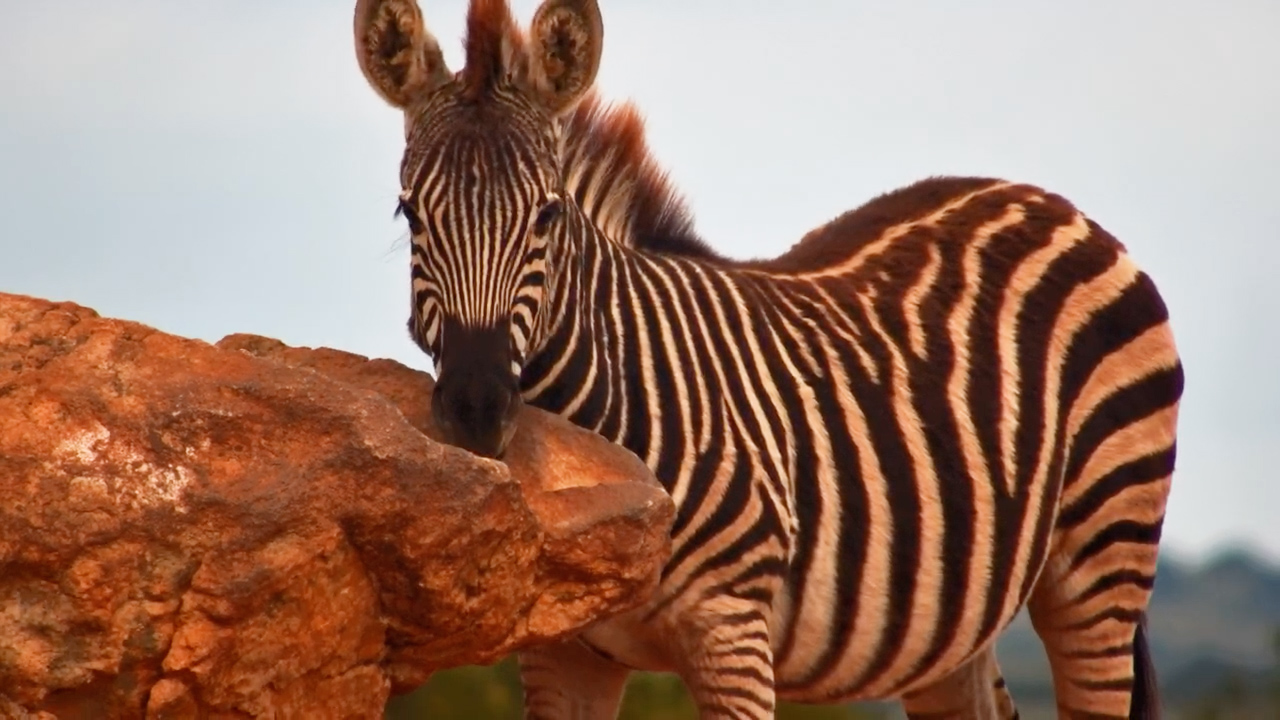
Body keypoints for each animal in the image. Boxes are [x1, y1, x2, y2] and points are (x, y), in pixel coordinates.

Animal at [353, 0, 1183, 718]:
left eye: (547, 216)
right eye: (408, 213)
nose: (475, 408)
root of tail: (1046, 200)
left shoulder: (732, 629)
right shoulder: (564, 648)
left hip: (1102, 559)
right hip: (957, 622)